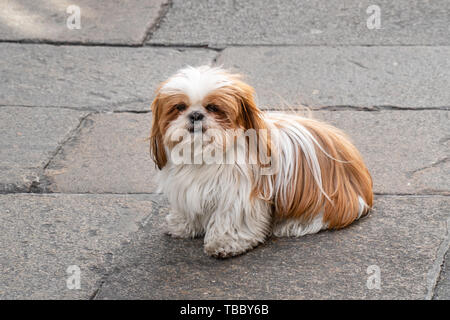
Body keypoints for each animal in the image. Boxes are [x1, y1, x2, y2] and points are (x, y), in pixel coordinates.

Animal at [149, 65, 374, 258]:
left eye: (213, 107)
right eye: (179, 107)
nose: (195, 115)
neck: (208, 151)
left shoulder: (239, 194)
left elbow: (232, 219)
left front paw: (224, 243)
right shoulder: (187, 188)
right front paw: (182, 225)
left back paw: (293, 224)